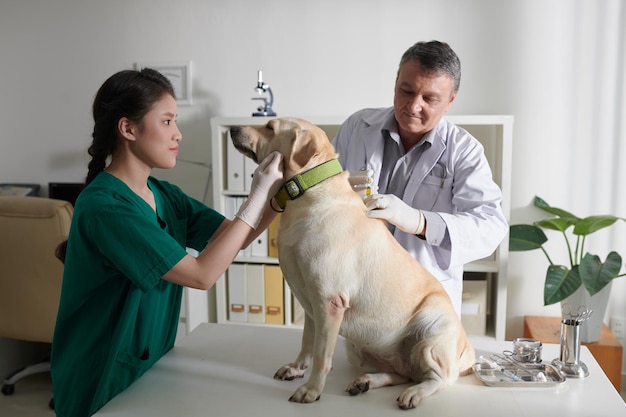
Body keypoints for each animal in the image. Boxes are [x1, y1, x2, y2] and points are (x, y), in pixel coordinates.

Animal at [229, 118, 472, 410]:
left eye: (269, 127)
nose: (231, 129)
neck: (308, 193)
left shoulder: (329, 301)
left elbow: (321, 355)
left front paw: (311, 389)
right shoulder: (311, 304)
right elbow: (307, 341)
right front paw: (297, 368)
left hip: (431, 330)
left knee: (439, 378)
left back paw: (414, 393)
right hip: (360, 348)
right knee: (402, 372)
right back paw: (365, 381)